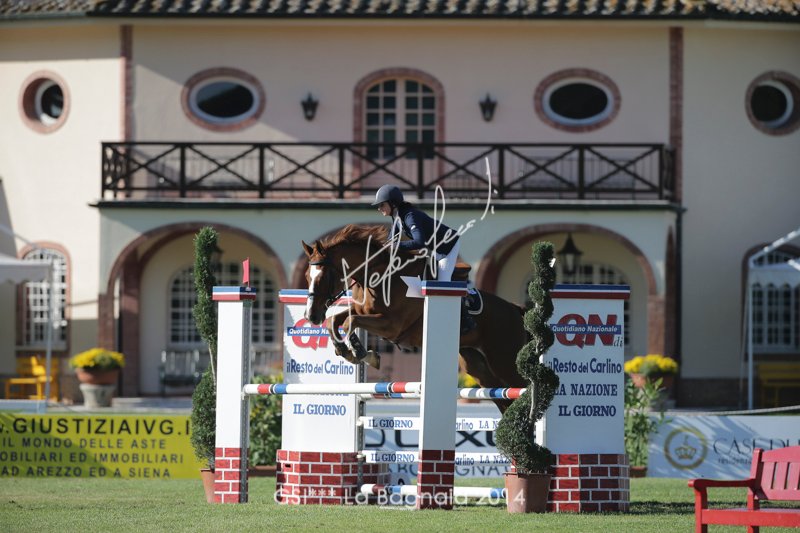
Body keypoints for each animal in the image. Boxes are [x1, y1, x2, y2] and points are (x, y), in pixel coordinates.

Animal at [301, 224, 528, 411]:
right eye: (306, 277)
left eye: (323, 277)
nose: (311, 316)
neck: (378, 276)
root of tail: (515, 309)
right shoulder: (363, 311)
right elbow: (335, 321)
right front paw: (346, 350)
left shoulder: (391, 325)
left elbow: (350, 321)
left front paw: (360, 352)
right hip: (478, 367)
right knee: (504, 400)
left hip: (505, 361)